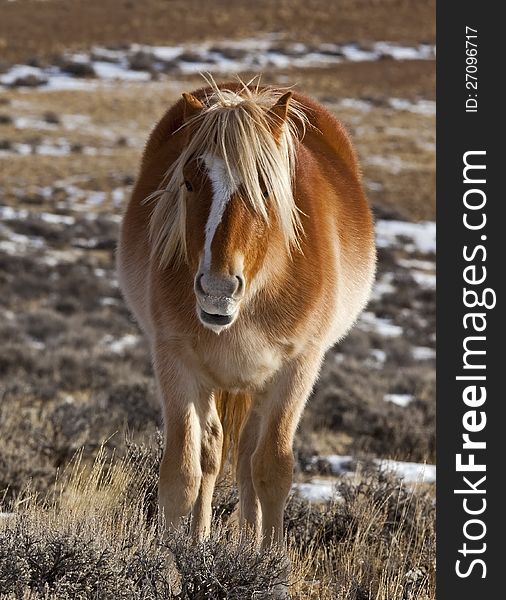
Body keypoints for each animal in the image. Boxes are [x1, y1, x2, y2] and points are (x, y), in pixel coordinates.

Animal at [115, 79, 376, 548]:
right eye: (188, 182)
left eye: (266, 188)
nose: (217, 290)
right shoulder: (175, 362)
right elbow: (182, 474)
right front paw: (166, 557)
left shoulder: (298, 367)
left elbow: (272, 470)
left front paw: (269, 559)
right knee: (214, 454)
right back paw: (200, 539)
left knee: (248, 459)